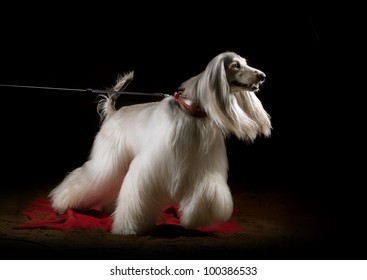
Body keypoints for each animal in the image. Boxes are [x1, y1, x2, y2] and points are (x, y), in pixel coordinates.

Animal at [49, 51, 272, 235]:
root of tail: (114, 112)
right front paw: (129, 226)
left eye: (245, 63)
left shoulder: (203, 167)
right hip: (108, 160)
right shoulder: (150, 166)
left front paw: (195, 219)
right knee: (86, 178)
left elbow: (206, 192)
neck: (192, 113)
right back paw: (61, 201)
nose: (262, 76)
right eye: (236, 65)